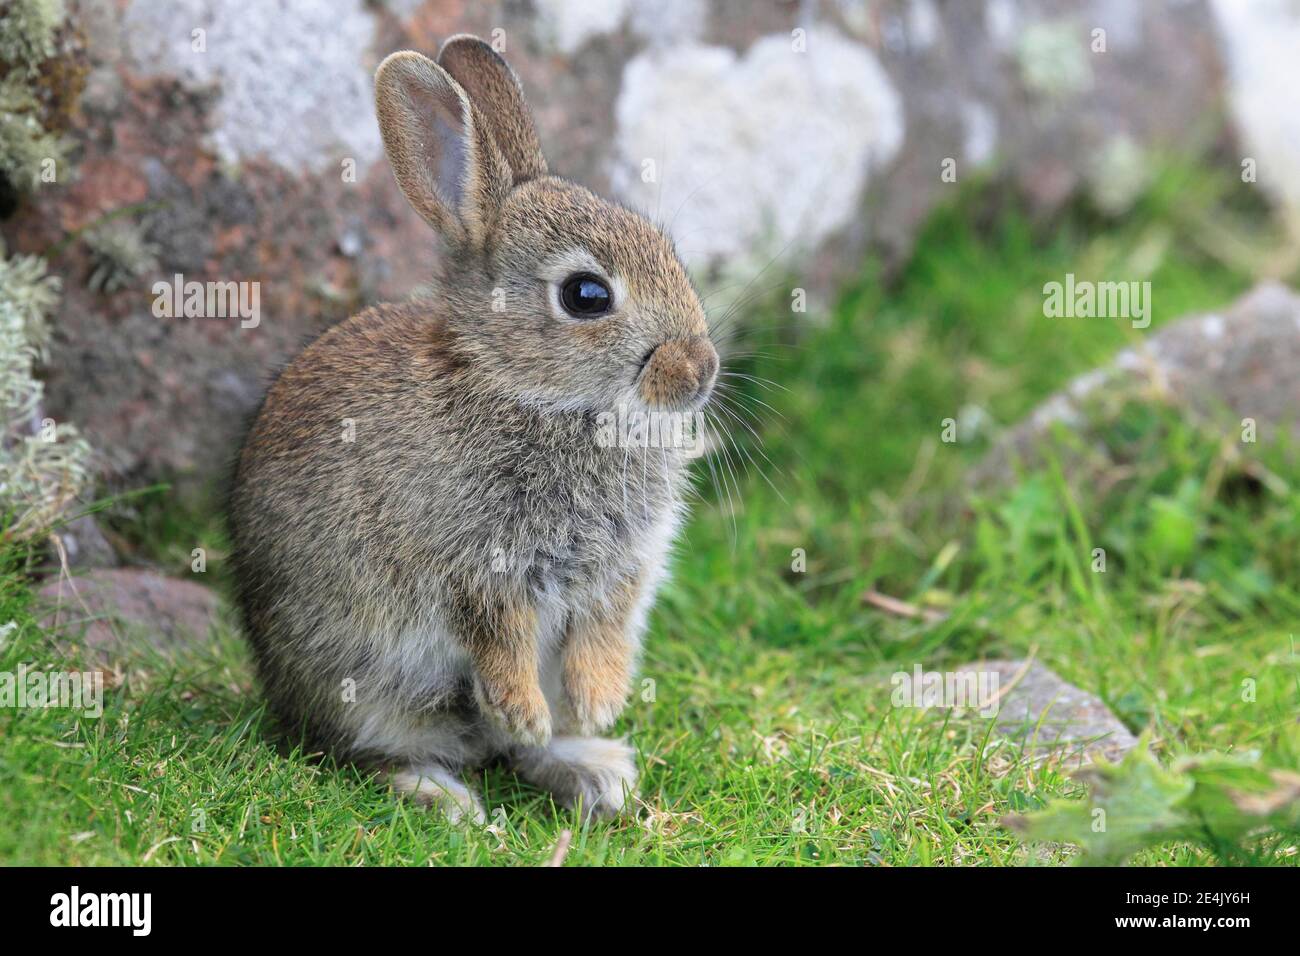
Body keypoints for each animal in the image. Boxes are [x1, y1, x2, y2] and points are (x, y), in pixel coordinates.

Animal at [233, 37, 722, 822]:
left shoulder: (618, 574)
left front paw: (601, 705)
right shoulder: (475, 570)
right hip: (360, 685)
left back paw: (592, 769)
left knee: (512, 753)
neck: (523, 390)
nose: (701, 369)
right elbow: (497, 640)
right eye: (587, 295)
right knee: (368, 749)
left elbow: (602, 634)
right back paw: (444, 793)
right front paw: (524, 709)